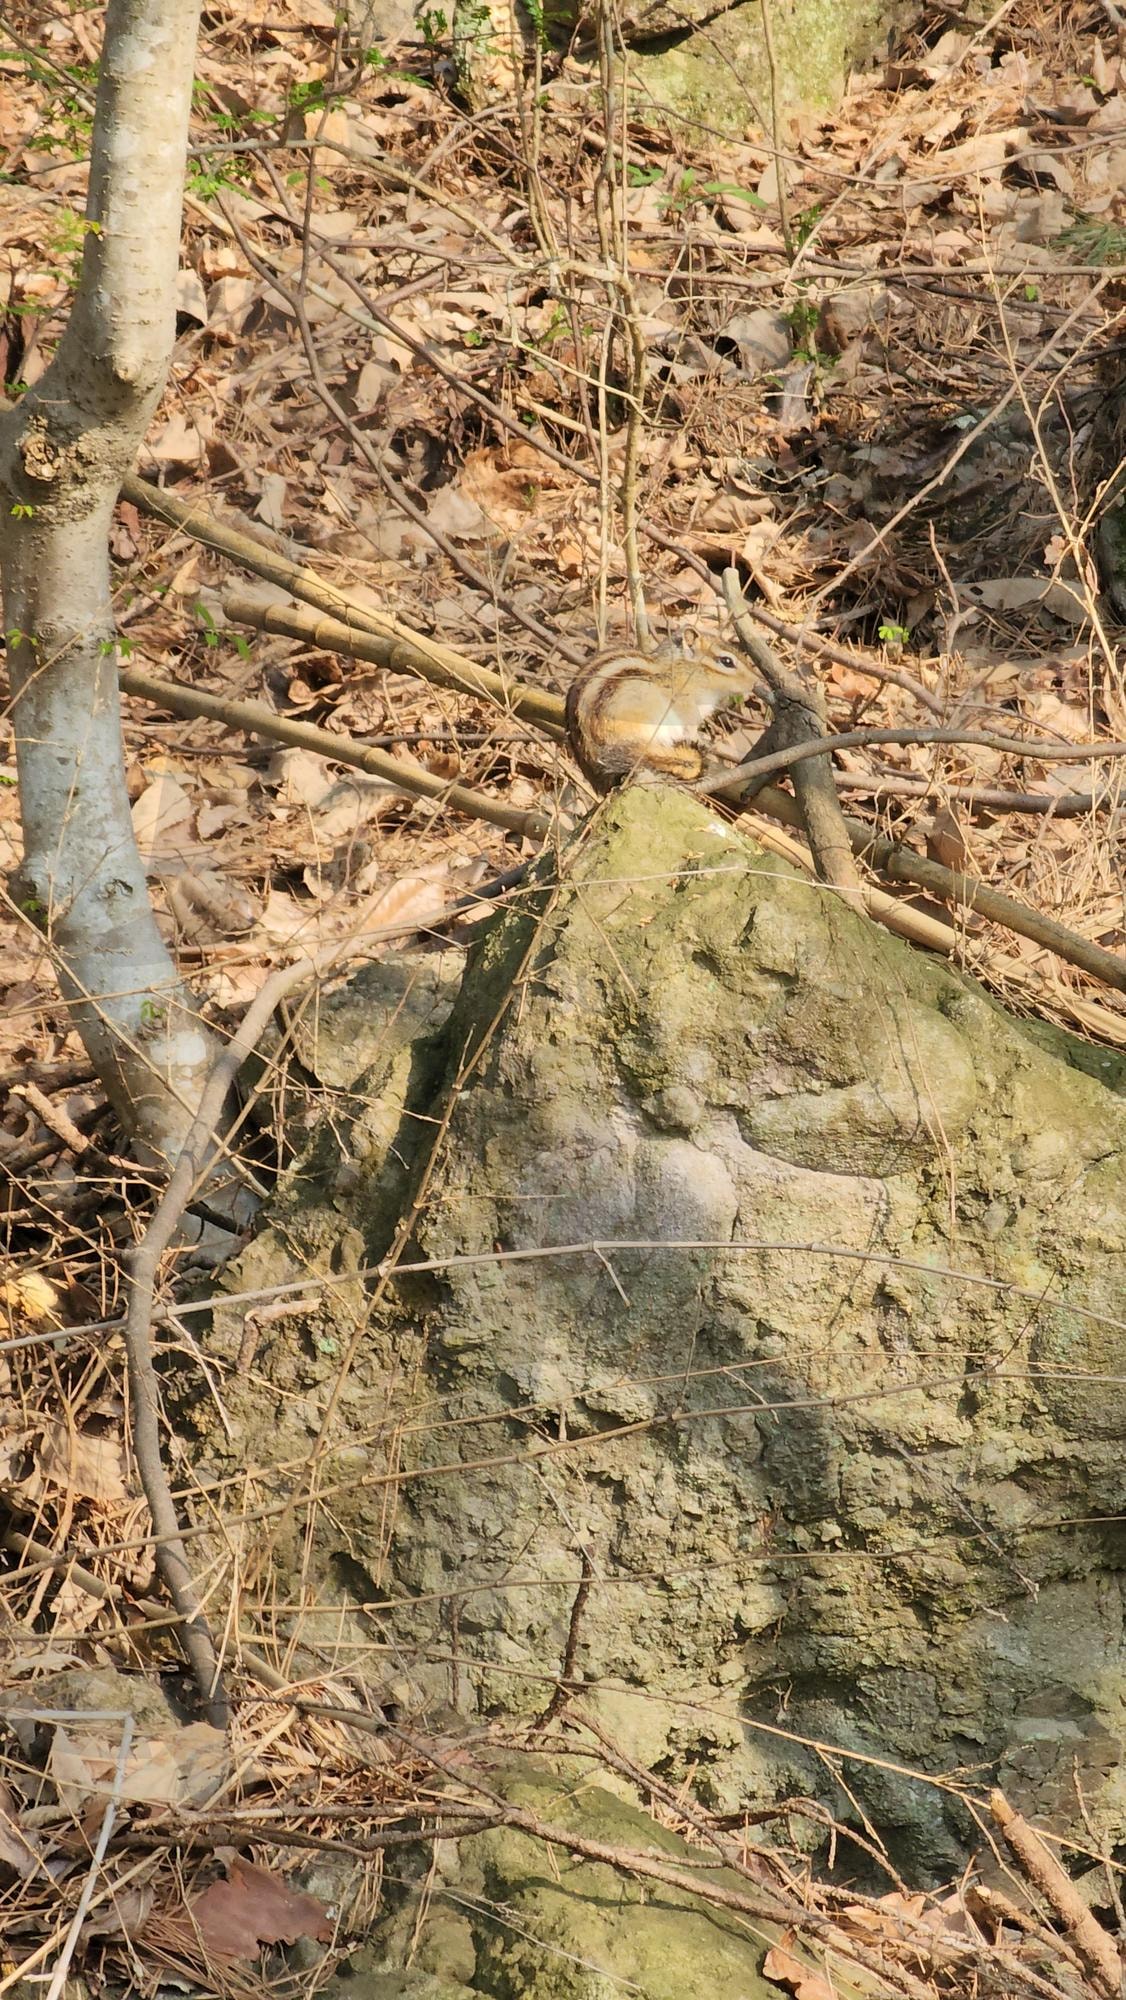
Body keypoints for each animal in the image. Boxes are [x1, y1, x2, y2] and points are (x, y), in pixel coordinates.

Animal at [565, 634, 758, 792]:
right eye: (727, 661)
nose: (755, 682)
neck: (689, 669)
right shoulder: (685, 703)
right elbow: (690, 726)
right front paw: (700, 739)